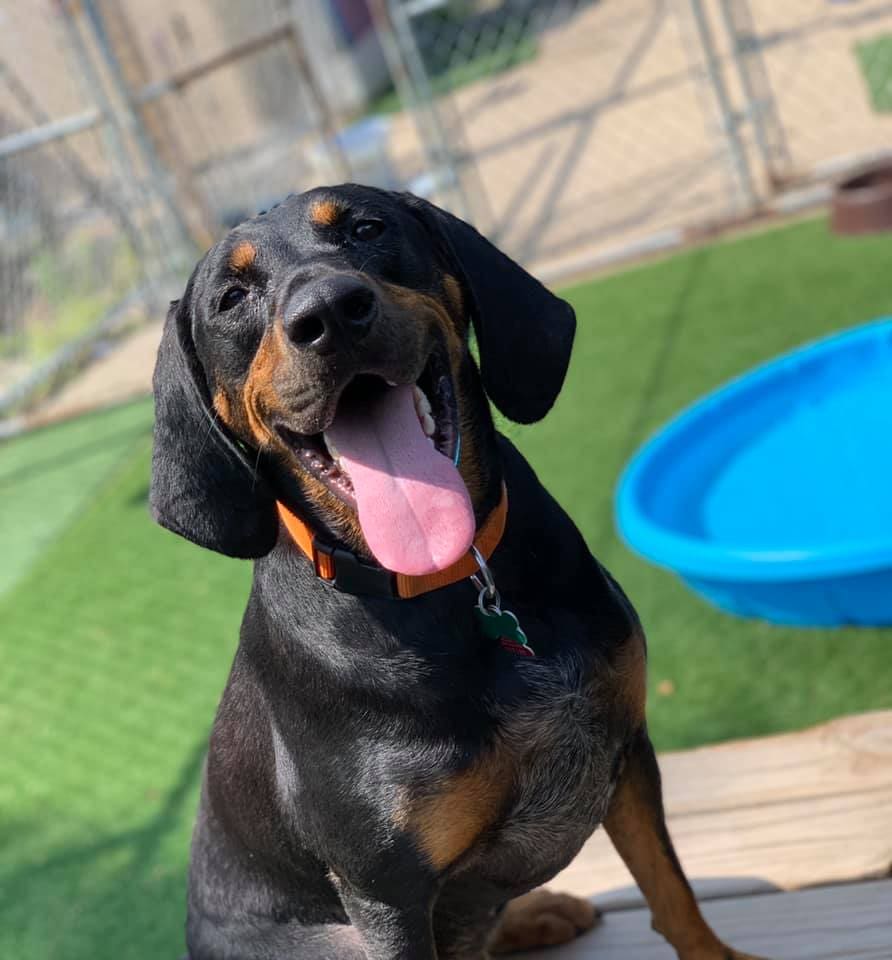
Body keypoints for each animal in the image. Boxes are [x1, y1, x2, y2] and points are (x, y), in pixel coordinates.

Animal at [150, 184, 764, 956]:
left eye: (366, 228)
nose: (329, 313)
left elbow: (672, 893)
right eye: (231, 299)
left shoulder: (625, 751)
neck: (450, 582)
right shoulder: (385, 891)